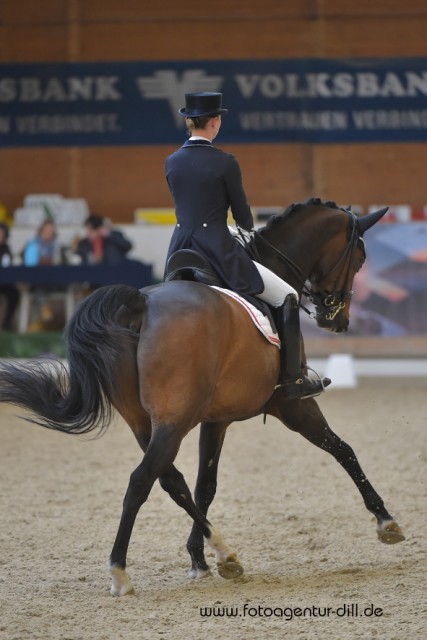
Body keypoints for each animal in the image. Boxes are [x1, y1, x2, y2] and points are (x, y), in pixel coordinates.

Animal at [0, 199, 404, 596]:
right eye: (359, 258)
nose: (337, 321)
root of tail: (140, 303)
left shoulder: (215, 419)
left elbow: (204, 486)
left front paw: (198, 559)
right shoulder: (292, 405)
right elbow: (343, 449)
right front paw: (386, 521)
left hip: (145, 422)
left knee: (170, 480)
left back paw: (220, 554)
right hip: (174, 422)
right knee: (141, 480)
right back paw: (124, 572)